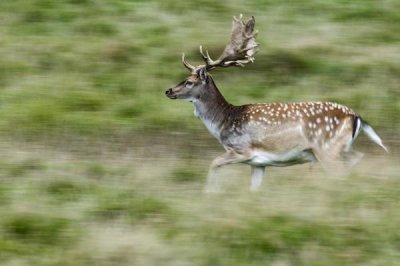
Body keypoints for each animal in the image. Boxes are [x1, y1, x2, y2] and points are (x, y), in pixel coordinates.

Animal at [165, 15, 388, 191]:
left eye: (189, 81)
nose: (168, 91)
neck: (224, 122)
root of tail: (356, 116)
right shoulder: (258, 163)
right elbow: (253, 189)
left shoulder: (242, 150)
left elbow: (213, 163)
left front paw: (209, 193)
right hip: (340, 148)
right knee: (357, 157)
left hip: (328, 149)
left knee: (344, 170)